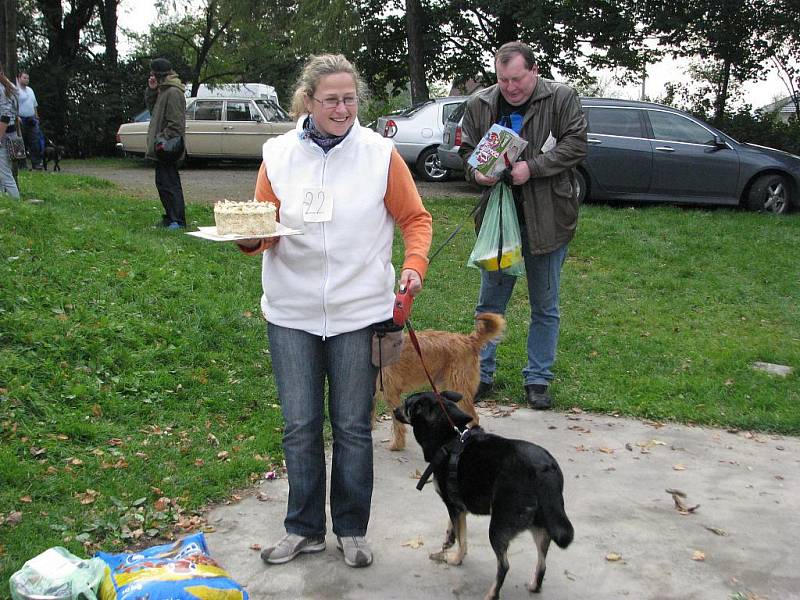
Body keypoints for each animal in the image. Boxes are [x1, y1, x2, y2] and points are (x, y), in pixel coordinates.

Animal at [376, 314, 506, 450]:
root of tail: (468, 340)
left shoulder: (391, 394)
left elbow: (397, 424)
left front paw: (397, 445)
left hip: (459, 389)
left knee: (474, 418)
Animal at [396, 392, 576, 596]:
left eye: (407, 404)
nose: (393, 410)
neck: (450, 438)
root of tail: (546, 470)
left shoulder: (453, 505)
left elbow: (462, 540)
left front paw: (456, 559)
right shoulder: (457, 507)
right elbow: (453, 528)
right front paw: (447, 543)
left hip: (499, 526)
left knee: (504, 566)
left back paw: (491, 594)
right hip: (541, 526)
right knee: (543, 562)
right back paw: (534, 586)